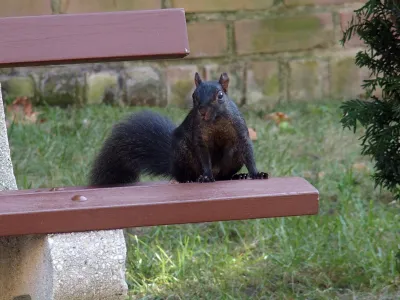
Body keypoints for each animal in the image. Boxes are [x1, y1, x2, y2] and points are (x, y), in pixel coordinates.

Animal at [89, 72, 268, 185]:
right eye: (194, 96)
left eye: (220, 95)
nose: (202, 111)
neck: (215, 121)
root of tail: (172, 165)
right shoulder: (199, 137)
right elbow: (205, 157)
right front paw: (206, 176)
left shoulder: (240, 130)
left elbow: (248, 151)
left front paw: (256, 173)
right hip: (183, 154)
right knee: (183, 176)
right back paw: (191, 179)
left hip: (233, 157)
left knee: (224, 176)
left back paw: (238, 176)